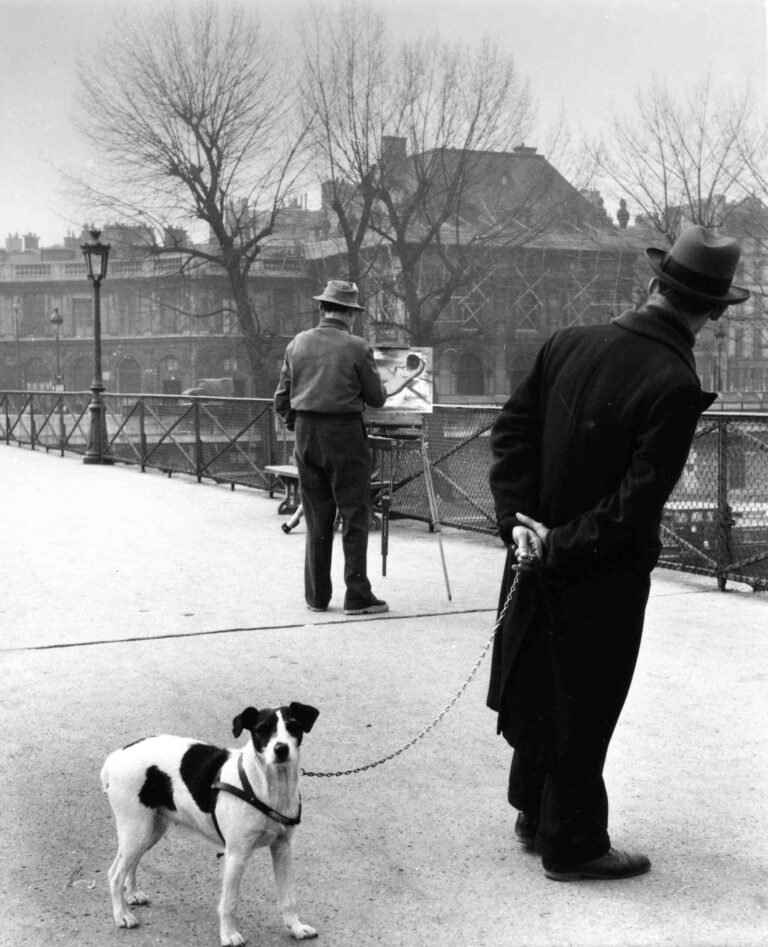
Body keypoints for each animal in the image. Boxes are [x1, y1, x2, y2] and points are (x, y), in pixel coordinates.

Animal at [100, 704, 320, 947]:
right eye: (262, 729)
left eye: (293, 726)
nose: (281, 749)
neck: (266, 789)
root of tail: (115, 757)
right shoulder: (236, 854)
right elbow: (230, 902)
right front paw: (229, 935)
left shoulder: (282, 849)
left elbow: (288, 898)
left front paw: (296, 928)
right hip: (136, 830)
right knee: (115, 874)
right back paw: (121, 914)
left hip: (149, 830)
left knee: (130, 863)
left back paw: (131, 894)